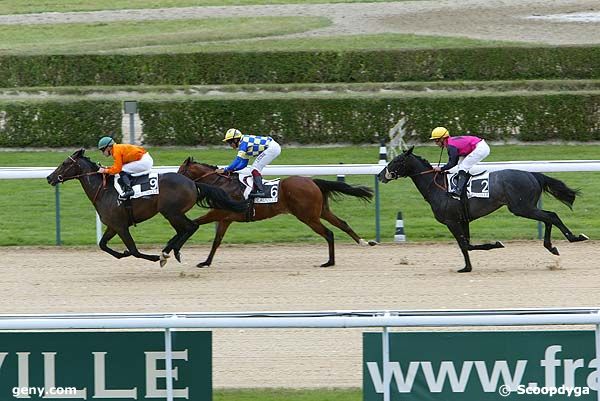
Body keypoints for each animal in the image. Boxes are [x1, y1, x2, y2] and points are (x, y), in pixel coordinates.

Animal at [45, 148, 248, 264]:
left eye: (64, 163)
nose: (49, 177)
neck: (103, 190)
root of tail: (193, 183)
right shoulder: (113, 225)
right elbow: (102, 245)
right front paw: (122, 254)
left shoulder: (120, 226)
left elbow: (134, 250)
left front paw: (152, 257)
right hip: (172, 213)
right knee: (184, 230)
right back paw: (169, 249)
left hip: (171, 212)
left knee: (191, 227)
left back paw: (169, 252)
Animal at [176, 155, 378, 266]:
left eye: (181, 171)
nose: (174, 181)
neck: (222, 185)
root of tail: (312, 181)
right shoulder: (225, 218)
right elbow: (216, 241)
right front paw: (206, 262)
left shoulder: (218, 214)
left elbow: (194, 224)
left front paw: (175, 250)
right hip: (320, 212)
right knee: (342, 224)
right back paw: (363, 242)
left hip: (308, 217)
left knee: (328, 233)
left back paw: (329, 262)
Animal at [378, 146, 588, 272]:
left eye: (396, 161)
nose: (380, 175)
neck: (438, 187)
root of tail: (533, 174)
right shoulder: (462, 220)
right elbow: (467, 245)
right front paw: (468, 266)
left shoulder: (451, 221)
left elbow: (465, 245)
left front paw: (491, 248)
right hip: (525, 207)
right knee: (548, 217)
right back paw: (552, 246)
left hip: (521, 207)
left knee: (551, 216)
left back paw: (574, 238)